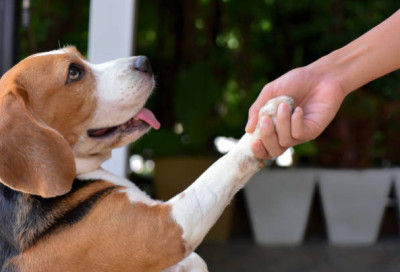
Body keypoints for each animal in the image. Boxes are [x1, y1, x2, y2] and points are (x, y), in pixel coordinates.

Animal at [0, 47, 294, 272]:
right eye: (73, 72)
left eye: (81, 57)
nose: (145, 62)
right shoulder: (167, 229)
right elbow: (220, 170)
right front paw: (266, 119)